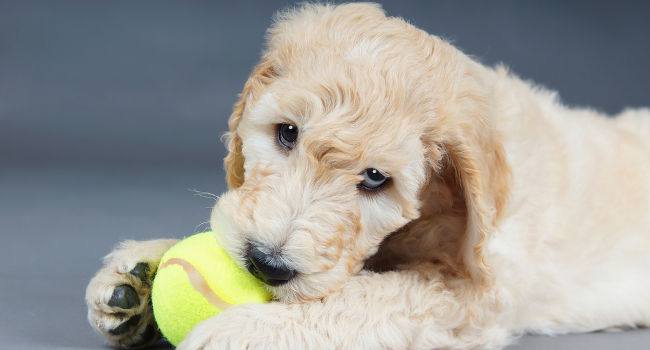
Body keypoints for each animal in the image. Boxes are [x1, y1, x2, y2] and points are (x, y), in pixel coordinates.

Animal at [85, 3, 648, 350]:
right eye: (286, 133)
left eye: (377, 179)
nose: (266, 265)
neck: (446, 205)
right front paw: (141, 272)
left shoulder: (472, 297)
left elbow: (363, 297)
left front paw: (244, 329)